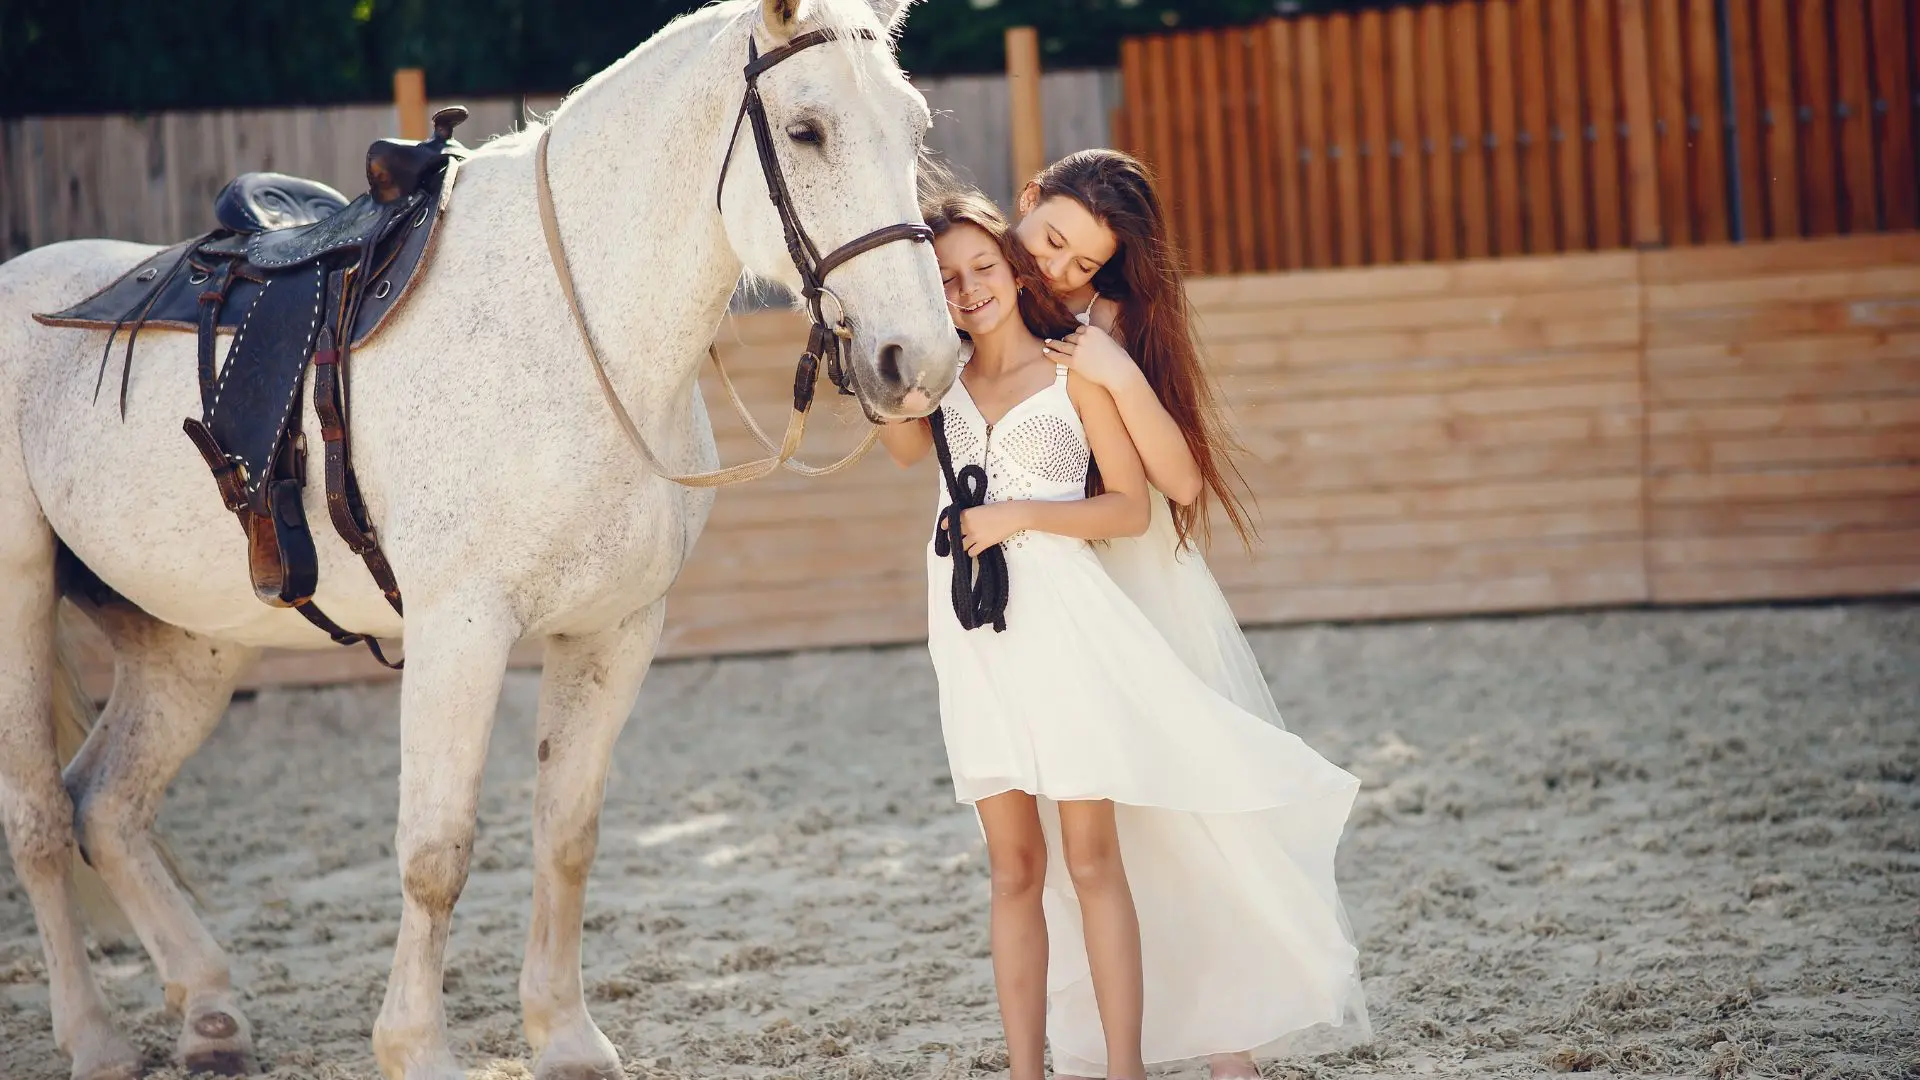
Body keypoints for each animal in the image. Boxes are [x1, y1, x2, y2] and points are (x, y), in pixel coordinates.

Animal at [0, 1, 961, 1077]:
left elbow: (567, 834)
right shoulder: (460, 630)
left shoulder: (616, 630)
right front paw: (416, 1047)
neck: (574, 333)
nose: (919, 359)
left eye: (916, 127)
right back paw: (94, 1038)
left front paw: (566, 1035)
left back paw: (209, 1014)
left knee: (107, 803)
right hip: (21, 596)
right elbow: (436, 853)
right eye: (805, 130)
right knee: (41, 820)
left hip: (191, 641)